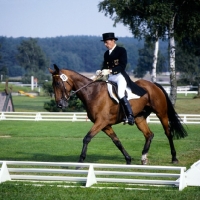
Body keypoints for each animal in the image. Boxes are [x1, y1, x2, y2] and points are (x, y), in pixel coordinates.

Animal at [48, 64, 188, 166]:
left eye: (58, 83)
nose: (60, 104)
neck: (92, 93)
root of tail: (154, 85)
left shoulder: (101, 122)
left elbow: (87, 138)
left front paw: (80, 162)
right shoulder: (105, 125)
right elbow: (116, 141)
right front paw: (128, 159)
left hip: (161, 113)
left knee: (168, 132)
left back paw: (174, 158)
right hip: (139, 117)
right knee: (149, 134)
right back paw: (143, 158)